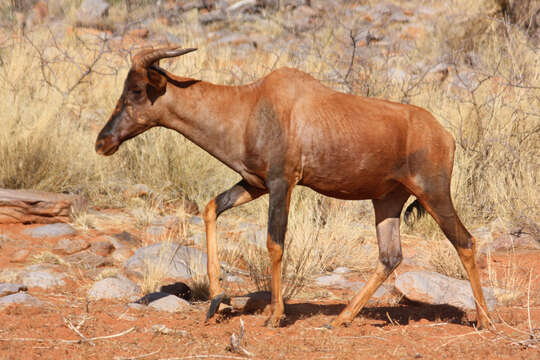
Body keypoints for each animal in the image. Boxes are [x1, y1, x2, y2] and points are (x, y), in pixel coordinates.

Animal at [95, 45, 492, 330]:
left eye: (136, 90)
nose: (103, 142)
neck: (252, 104)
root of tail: (444, 134)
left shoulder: (281, 183)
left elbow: (274, 243)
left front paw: (274, 315)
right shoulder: (254, 184)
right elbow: (210, 208)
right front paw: (217, 300)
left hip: (433, 192)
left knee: (465, 242)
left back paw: (485, 321)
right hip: (387, 200)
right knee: (390, 256)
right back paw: (340, 319)